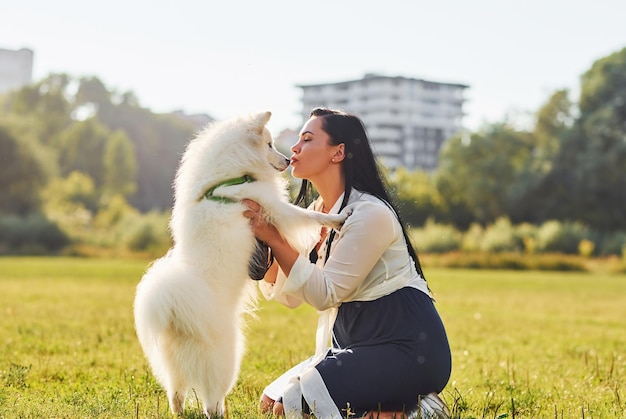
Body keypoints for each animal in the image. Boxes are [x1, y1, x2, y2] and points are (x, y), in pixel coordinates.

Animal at [133, 110, 346, 416]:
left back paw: (180, 410)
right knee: (212, 398)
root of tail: (177, 318)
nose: (287, 161)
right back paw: (219, 411)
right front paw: (335, 220)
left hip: (172, 367)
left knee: (176, 392)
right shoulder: (273, 206)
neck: (230, 177)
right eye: (269, 144)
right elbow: (308, 216)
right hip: (227, 360)